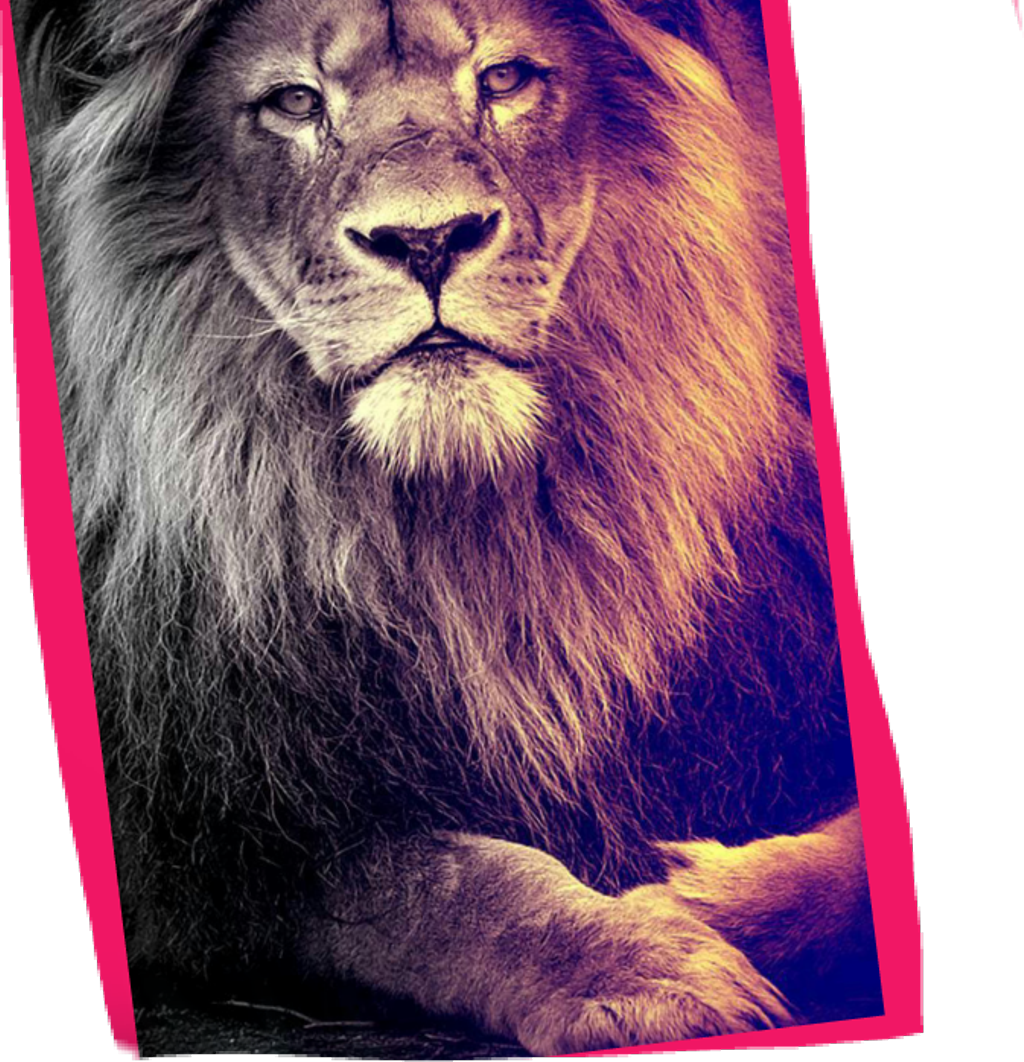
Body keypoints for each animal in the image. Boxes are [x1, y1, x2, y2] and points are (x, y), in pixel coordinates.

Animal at [14, 0, 879, 1053]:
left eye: (504, 80)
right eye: (293, 102)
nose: (427, 241)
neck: (468, 538)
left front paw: (698, 899)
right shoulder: (213, 846)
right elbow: (441, 882)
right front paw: (641, 966)